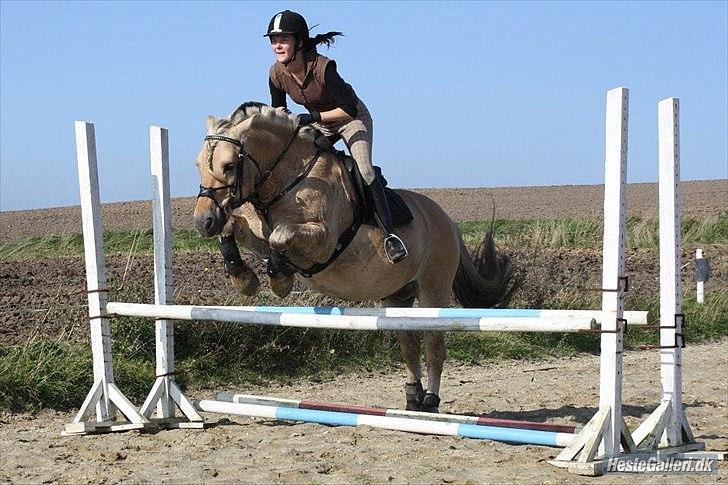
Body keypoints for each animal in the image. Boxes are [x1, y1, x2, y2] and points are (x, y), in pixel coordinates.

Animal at [191, 103, 516, 412]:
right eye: (197, 165)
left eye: (228, 165)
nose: (203, 221)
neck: (290, 179)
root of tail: (446, 220)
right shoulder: (254, 232)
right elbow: (234, 229)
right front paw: (244, 278)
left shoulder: (322, 241)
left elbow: (279, 236)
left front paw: (279, 279)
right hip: (397, 295)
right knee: (409, 345)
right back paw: (412, 398)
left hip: (433, 289)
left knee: (434, 347)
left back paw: (430, 402)